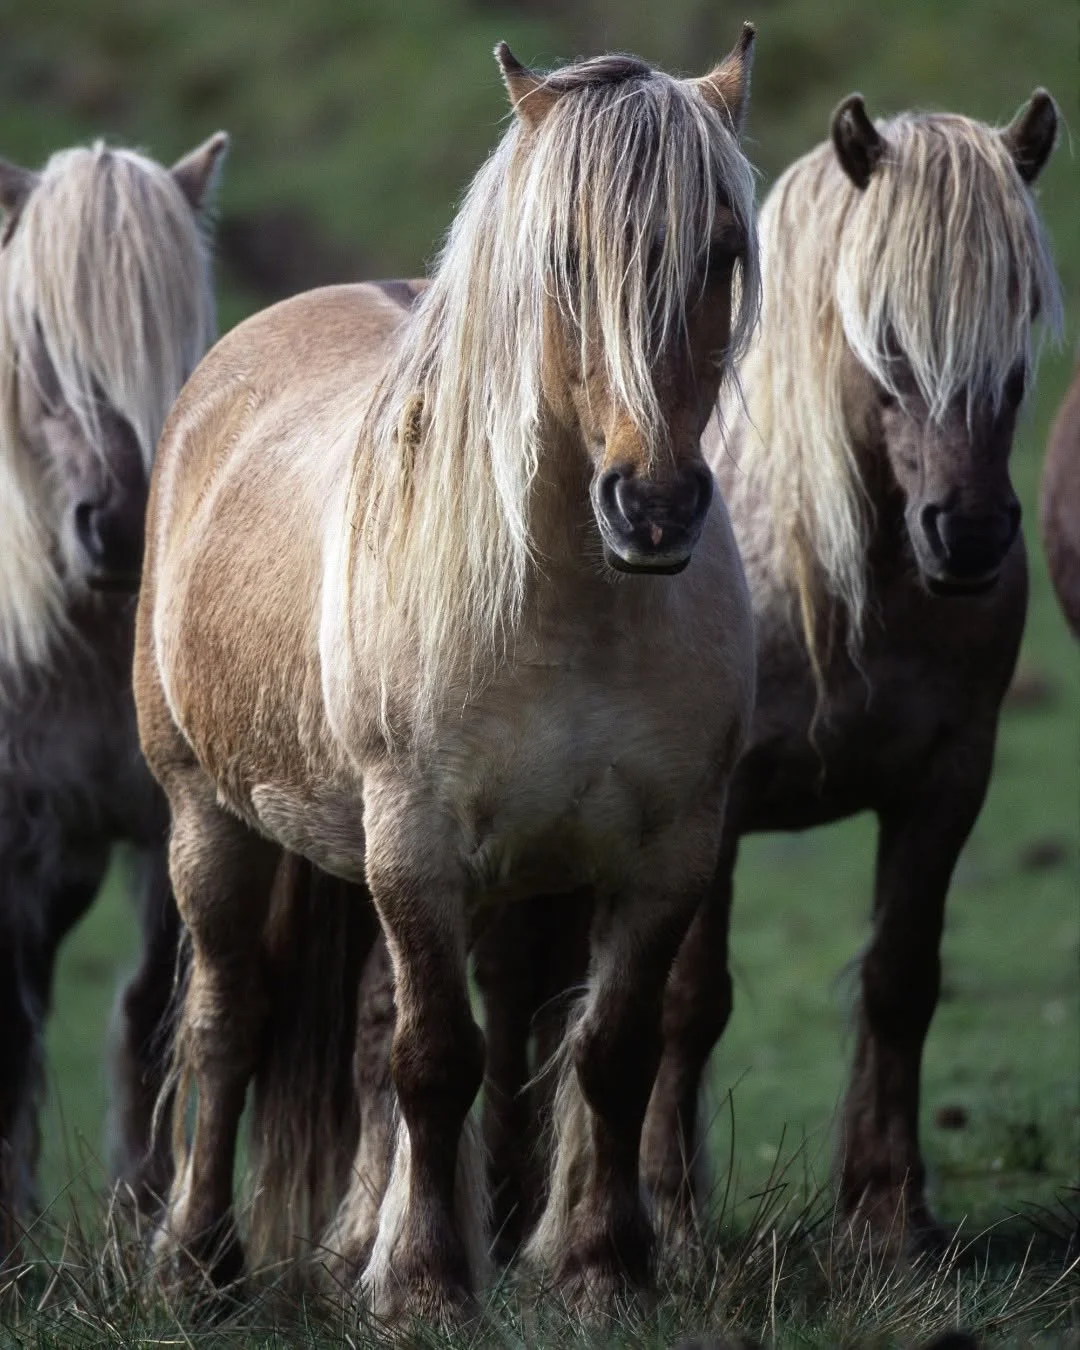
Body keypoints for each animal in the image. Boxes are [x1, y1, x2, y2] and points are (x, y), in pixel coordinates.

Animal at [135, 32, 761, 1322]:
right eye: (564, 256)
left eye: (722, 250)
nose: (654, 506)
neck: (574, 612)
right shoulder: (415, 847)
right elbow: (437, 1060)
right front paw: (426, 1285)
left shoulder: (670, 851)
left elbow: (610, 1055)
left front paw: (604, 1267)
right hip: (209, 821)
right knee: (228, 1023)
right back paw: (196, 1263)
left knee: (374, 1026)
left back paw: (345, 1254)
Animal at [473, 89, 1065, 1260]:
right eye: (885, 332)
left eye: (1023, 315)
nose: (970, 535)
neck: (842, 582)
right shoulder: (721, 803)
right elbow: (688, 1002)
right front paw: (671, 1208)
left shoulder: (950, 782)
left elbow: (901, 979)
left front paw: (890, 1212)